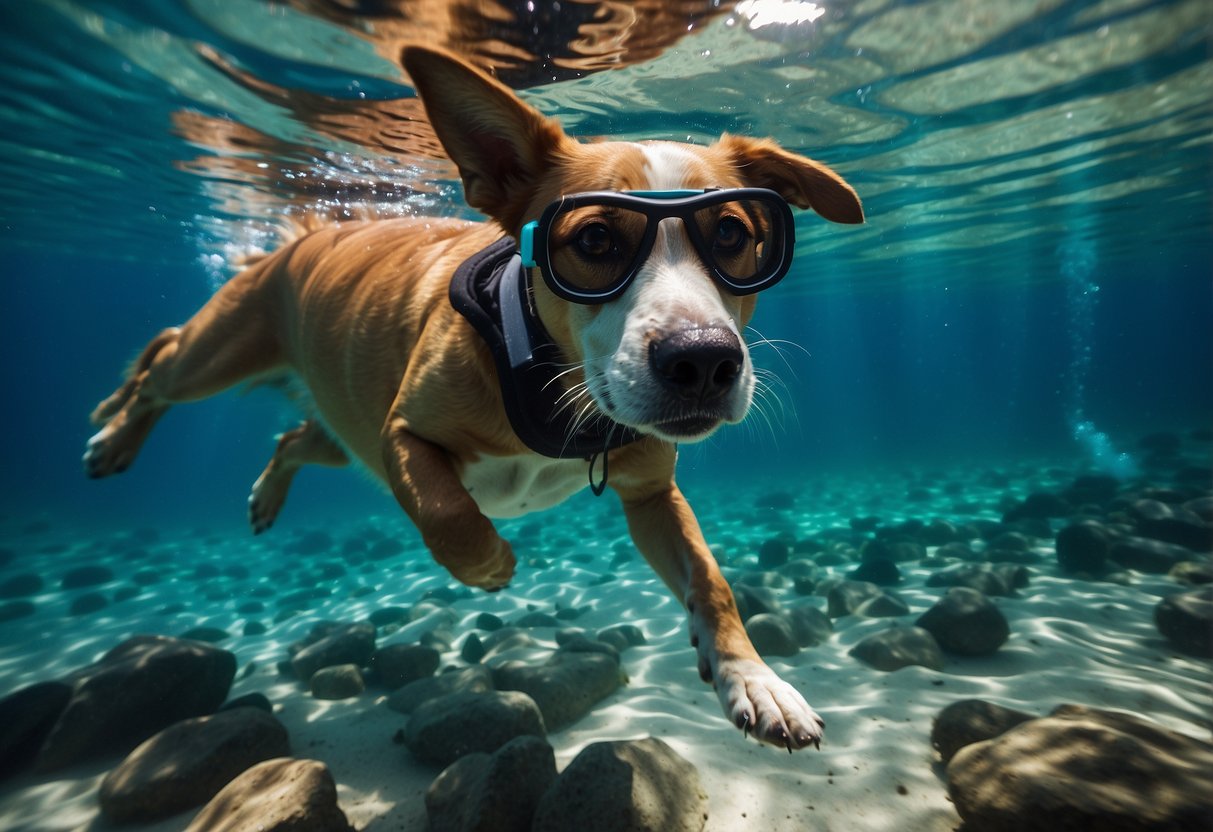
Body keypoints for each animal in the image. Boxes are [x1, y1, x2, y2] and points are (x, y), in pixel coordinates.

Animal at [85, 42, 863, 751]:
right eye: (594, 240)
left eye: (731, 232)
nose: (702, 360)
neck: (556, 388)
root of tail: (302, 239)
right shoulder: (400, 435)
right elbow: (449, 513)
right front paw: (490, 565)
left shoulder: (650, 495)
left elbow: (711, 581)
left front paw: (754, 679)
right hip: (222, 357)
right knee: (160, 361)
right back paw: (112, 432)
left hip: (338, 426)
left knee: (294, 439)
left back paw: (263, 492)